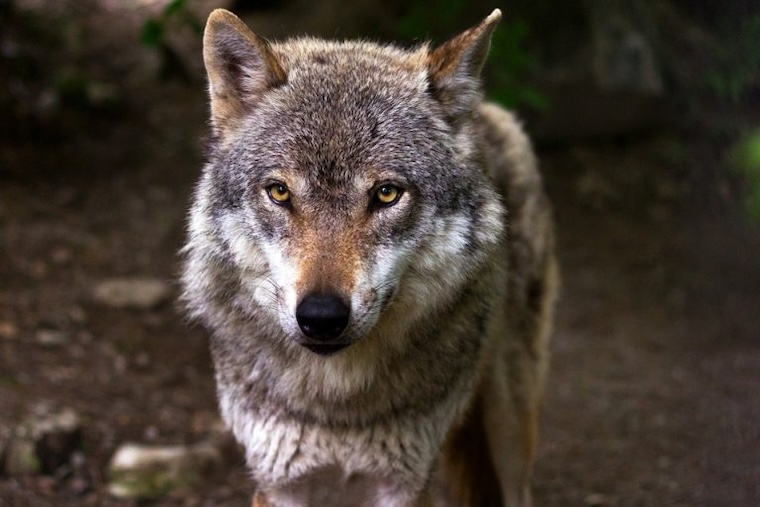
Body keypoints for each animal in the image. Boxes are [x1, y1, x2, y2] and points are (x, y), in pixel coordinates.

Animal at [181, 7, 558, 507]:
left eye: (386, 194)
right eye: (279, 192)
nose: (321, 317)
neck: (337, 405)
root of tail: (487, 113)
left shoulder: (405, 482)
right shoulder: (279, 482)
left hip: (510, 429)